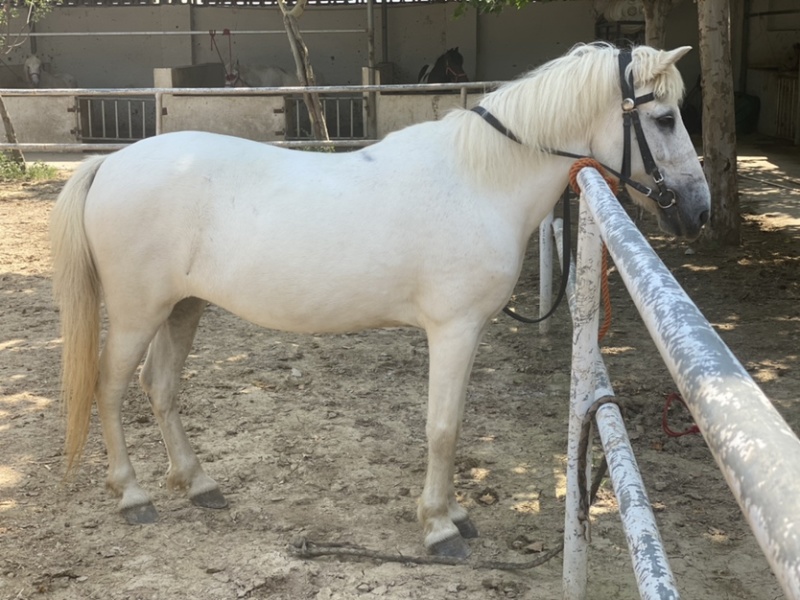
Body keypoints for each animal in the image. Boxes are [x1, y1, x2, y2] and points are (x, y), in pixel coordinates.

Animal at [50, 43, 710, 559]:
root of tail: (111, 163)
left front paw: (454, 513)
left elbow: (454, 424)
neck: (479, 181)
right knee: (110, 388)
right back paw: (132, 495)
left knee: (159, 387)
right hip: (138, 313)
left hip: (183, 308)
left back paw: (199, 484)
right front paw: (441, 530)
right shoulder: (453, 330)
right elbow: (443, 427)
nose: (699, 211)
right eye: (666, 118)